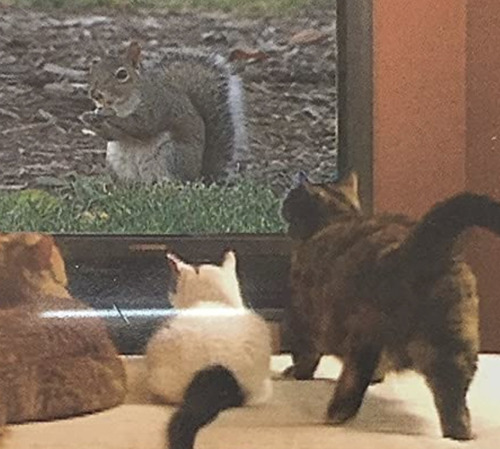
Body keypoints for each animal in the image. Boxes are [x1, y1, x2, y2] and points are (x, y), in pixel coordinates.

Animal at [281, 170, 500, 441]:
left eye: (292, 198)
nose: (282, 205)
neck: (338, 217)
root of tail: (414, 250)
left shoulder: (300, 317)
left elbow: (305, 357)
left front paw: (296, 374)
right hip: (455, 348)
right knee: (453, 400)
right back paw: (459, 434)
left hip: (364, 334)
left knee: (354, 376)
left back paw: (336, 413)